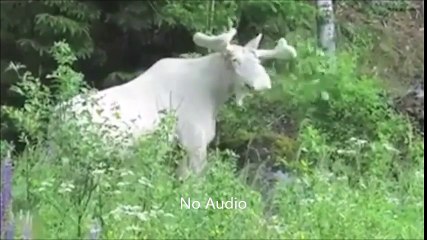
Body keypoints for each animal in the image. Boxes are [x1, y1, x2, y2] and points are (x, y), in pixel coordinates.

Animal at [52, 27, 298, 179]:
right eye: (235, 60)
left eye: (258, 60)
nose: (263, 84)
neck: (214, 95)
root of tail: (57, 118)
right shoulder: (194, 144)